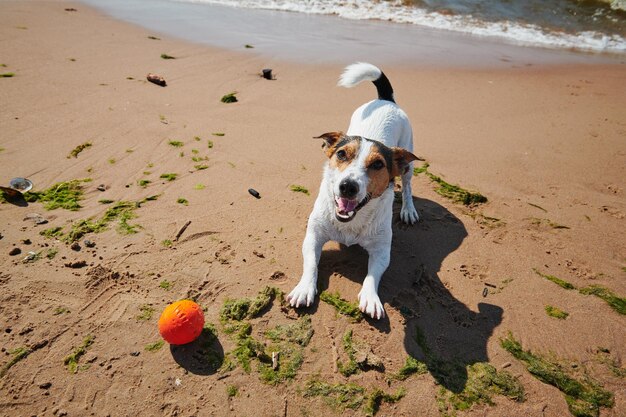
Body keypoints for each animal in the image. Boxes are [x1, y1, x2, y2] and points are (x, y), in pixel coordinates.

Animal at [288, 62, 420, 318]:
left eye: (378, 164)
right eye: (341, 154)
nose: (347, 186)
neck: (350, 222)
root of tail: (386, 100)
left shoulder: (382, 250)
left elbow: (372, 276)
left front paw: (371, 297)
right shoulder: (313, 236)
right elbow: (311, 264)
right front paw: (304, 288)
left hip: (408, 159)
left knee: (408, 185)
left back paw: (408, 209)